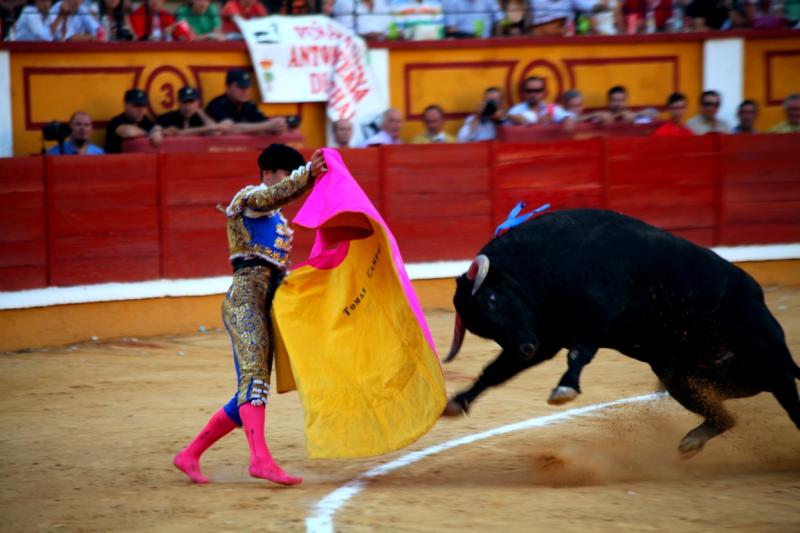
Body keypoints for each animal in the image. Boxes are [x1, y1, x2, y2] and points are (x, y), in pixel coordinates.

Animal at [444, 208, 800, 458]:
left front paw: (564, 389)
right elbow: (495, 372)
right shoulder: (546, 337)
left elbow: (580, 352)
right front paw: (457, 402)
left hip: (772, 363)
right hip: (686, 381)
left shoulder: (598, 312)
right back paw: (691, 441)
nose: (523, 348)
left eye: (492, 300)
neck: (548, 262)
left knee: (792, 407)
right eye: (480, 329)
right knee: (726, 418)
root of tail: (757, 294)